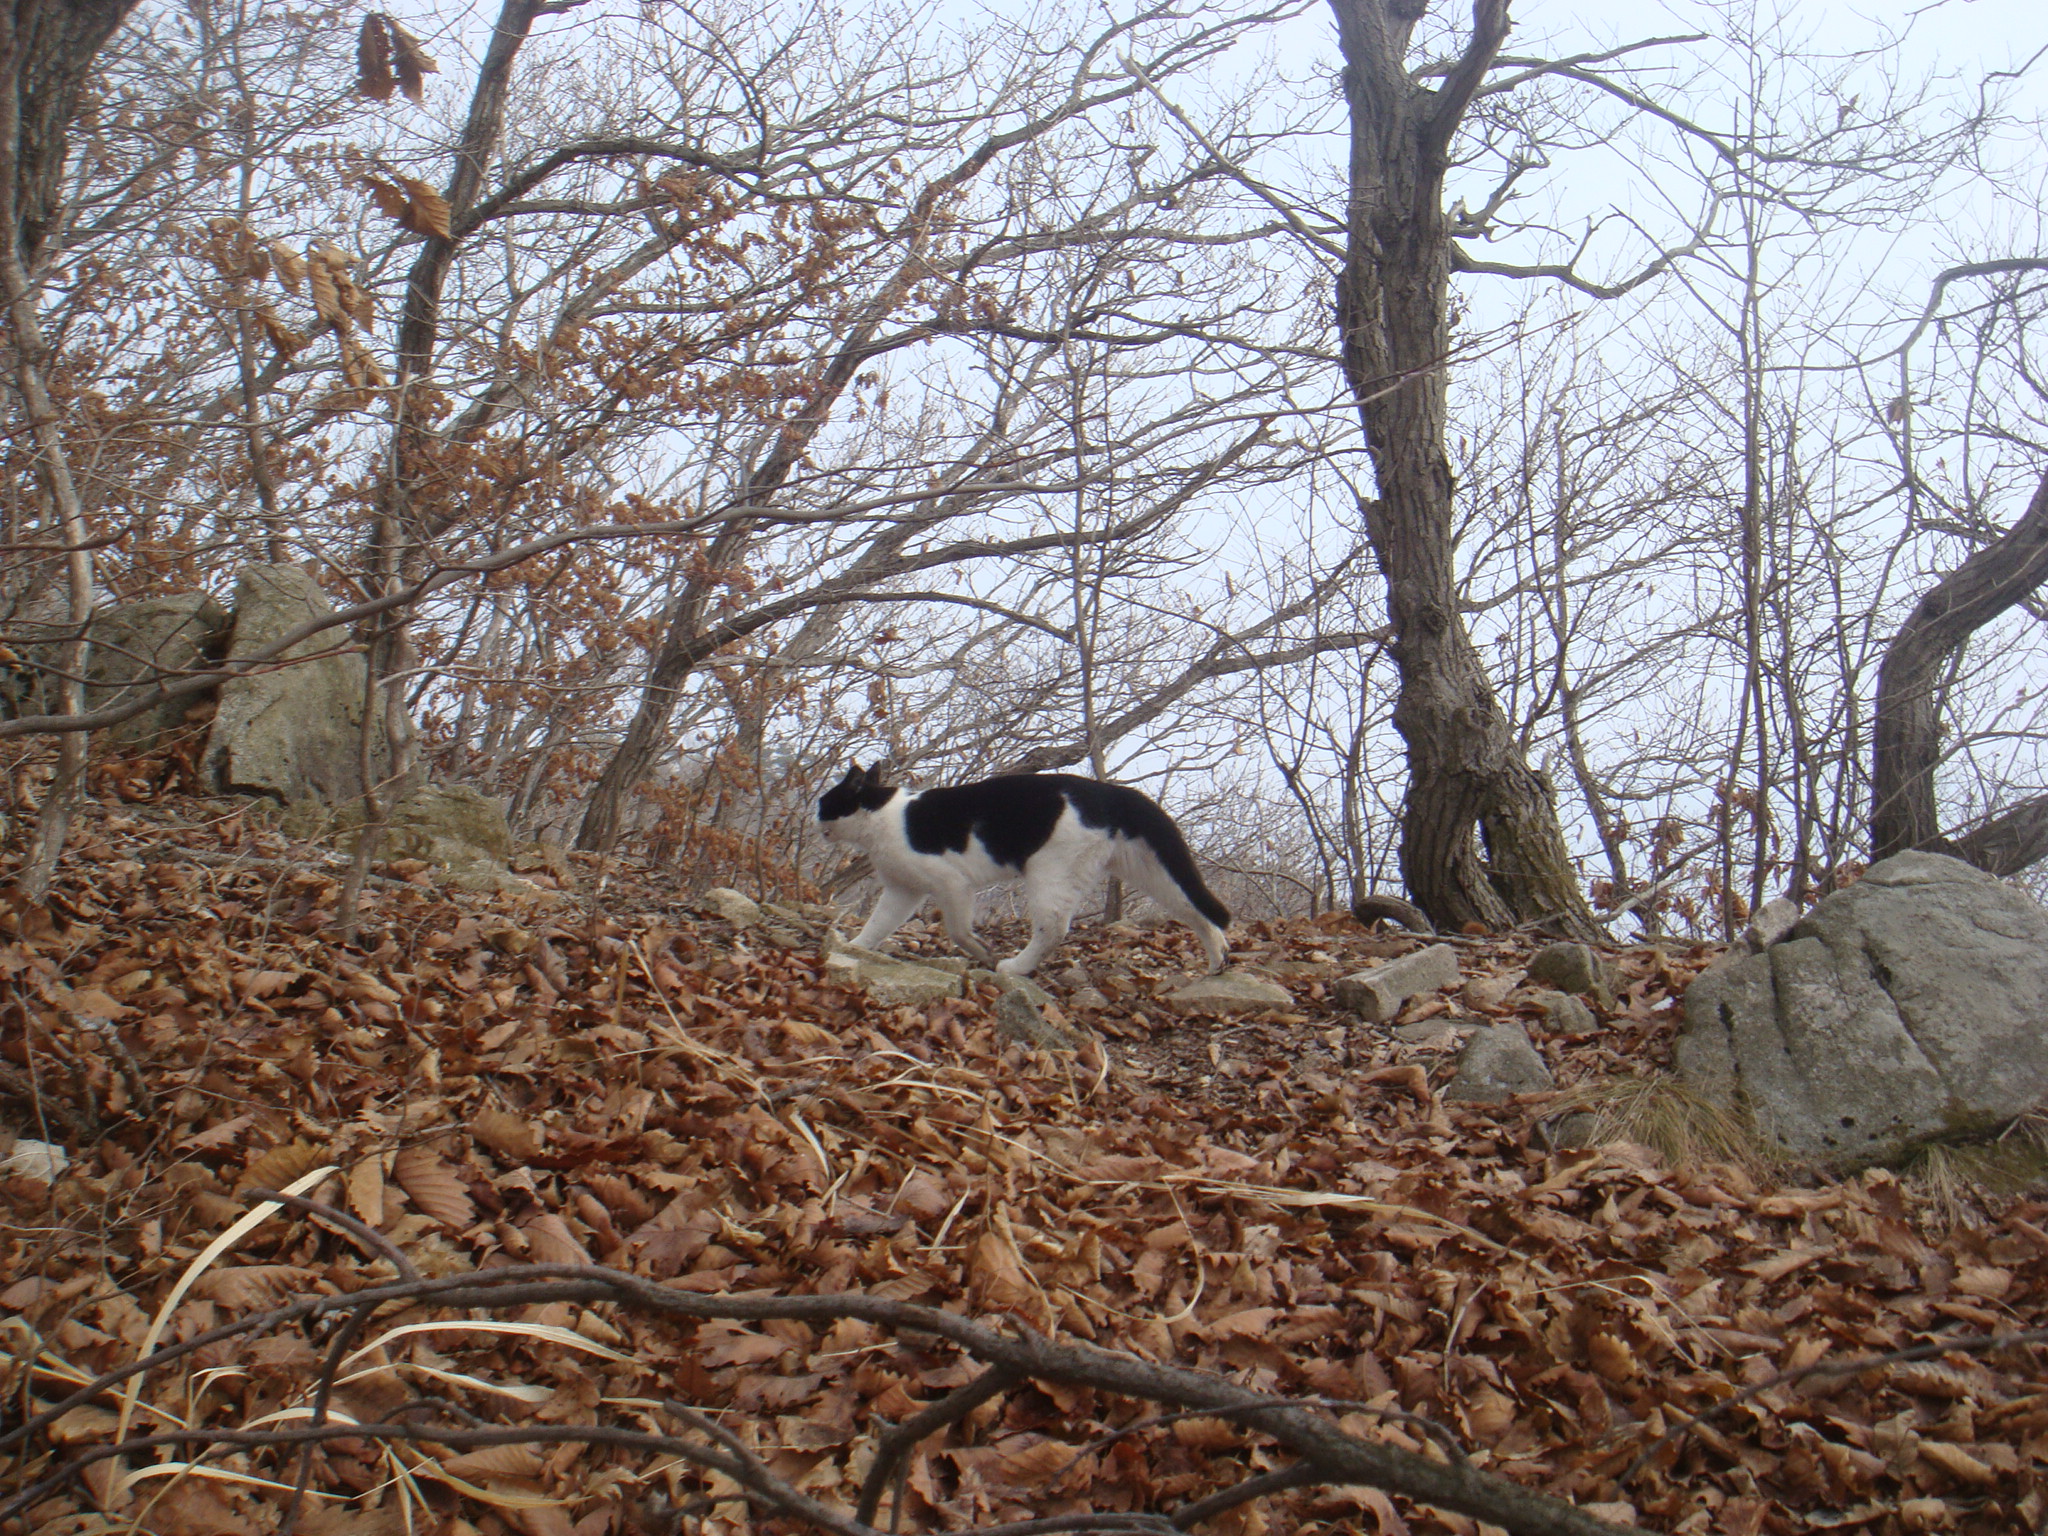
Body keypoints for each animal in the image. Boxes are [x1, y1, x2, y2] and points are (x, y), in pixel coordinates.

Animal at [815, 762, 1231, 976]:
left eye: (825, 802)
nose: (815, 815)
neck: (882, 815)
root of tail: (1112, 791)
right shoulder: (904, 890)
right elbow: (878, 924)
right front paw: (854, 948)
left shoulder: (952, 884)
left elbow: (958, 930)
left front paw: (983, 953)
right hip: (1153, 871)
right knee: (1197, 911)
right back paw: (1217, 961)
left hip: (1050, 871)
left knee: (1053, 929)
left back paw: (1014, 967)